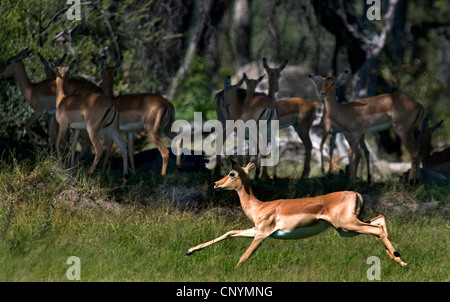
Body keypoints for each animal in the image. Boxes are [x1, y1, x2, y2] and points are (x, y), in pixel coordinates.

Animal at [186, 158, 408, 266]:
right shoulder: (255, 229)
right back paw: (397, 258)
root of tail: (356, 193)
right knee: (380, 221)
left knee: (378, 229)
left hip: (347, 225)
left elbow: (245, 256)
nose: (216, 183)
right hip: (348, 229)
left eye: (232, 173)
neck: (259, 206)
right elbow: (229, 232)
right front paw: (190, 251)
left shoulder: (262, 233)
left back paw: (400, 260)